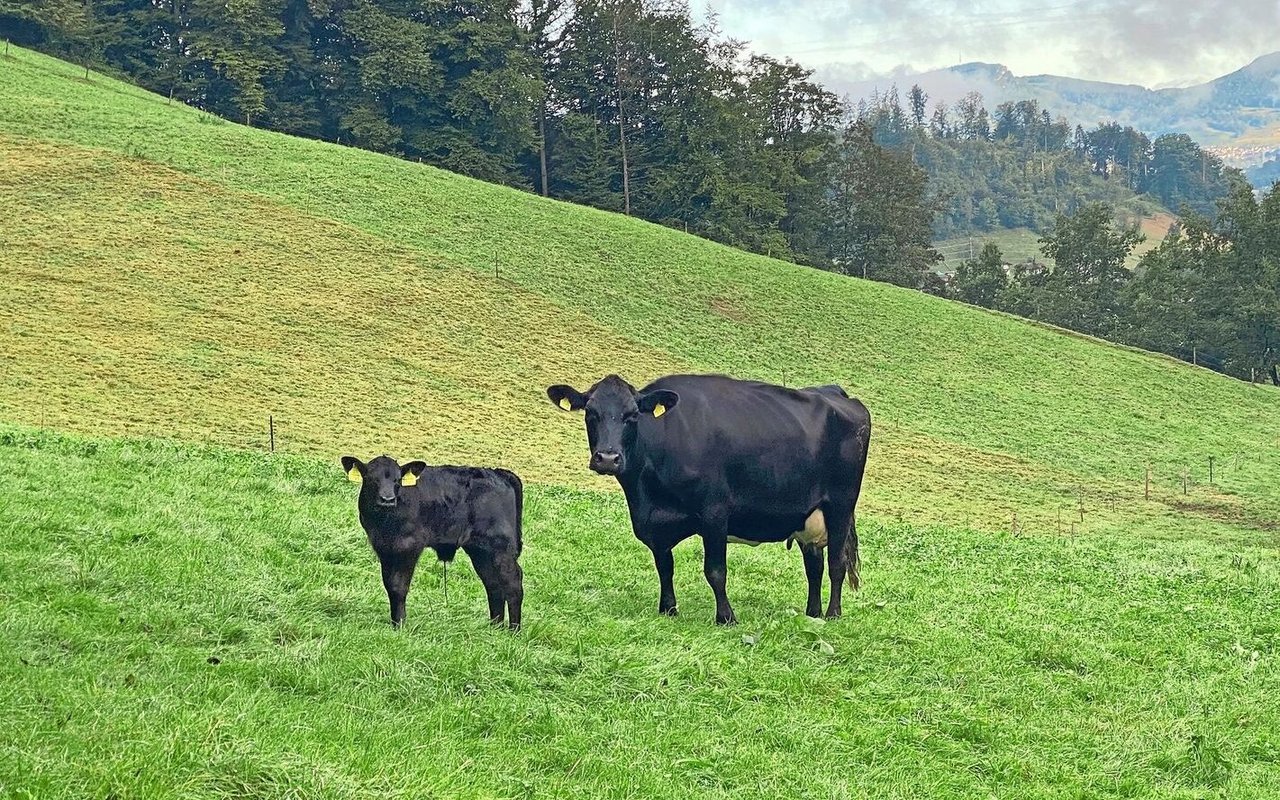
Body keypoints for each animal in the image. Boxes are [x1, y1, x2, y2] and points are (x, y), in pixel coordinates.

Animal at [343, 455, 527, 629]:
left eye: (398, 480)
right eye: (371, 478)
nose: (387, 499)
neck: (383, 522)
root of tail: (499, 473)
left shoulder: (409, 546)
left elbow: (398, 586)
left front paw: (400, 625)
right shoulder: (384, 549)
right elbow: (389, 584)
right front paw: (395, 623)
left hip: (500, 548)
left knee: (513, 583)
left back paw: (513, 631)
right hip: (481, 551)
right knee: (493, 585)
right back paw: (495, 628)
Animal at [545, 373, 875, 624]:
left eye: (632, 416)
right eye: (591, 413)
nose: (607, 458)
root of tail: (834, 391)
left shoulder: (715, 512)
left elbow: (715, 571)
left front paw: (726, 617)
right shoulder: (654, 525)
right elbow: (665, 566)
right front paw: (668, 609)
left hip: (840, 506)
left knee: (836, 563)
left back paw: (833, 614)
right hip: (808, 515)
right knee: (814, 567)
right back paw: (812, 613)